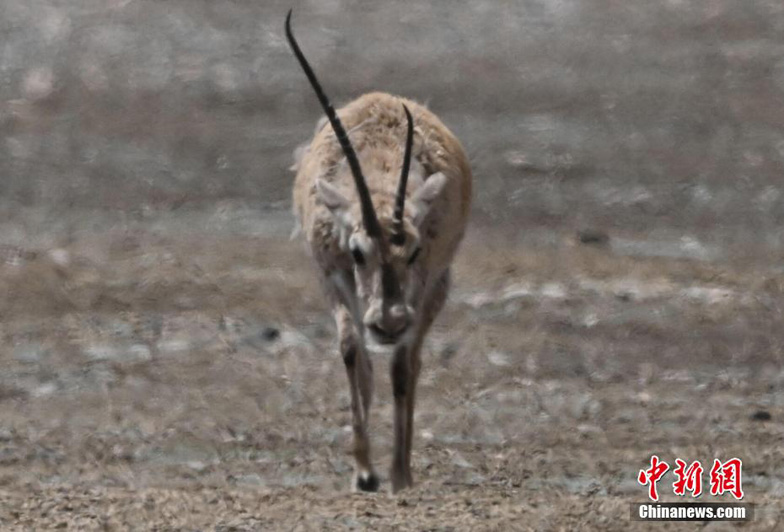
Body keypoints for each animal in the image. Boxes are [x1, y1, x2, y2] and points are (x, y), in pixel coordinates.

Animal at [286, 10, 472, 492]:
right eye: (356, 251)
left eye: (414, 251)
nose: (387, 323)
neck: (383, 182)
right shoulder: (331, 276)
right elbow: (353, 350)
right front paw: (364, 472)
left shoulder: (426, 283)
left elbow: (403, 366)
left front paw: (399, 474)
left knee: (412, 362)